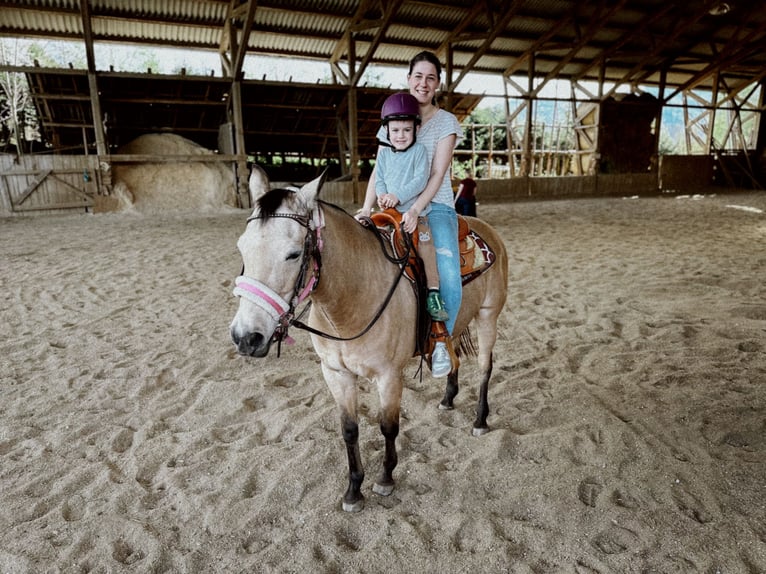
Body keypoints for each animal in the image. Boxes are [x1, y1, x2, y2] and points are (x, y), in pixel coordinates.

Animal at [231, 171, 512, 512]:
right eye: (242, 247)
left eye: (293, 254)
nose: (246, 337)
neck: (352, 299)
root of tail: (485, 229)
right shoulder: (335, 373)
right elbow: (349, 430)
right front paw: (354, 490)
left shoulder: (389, 376)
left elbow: (388, 426)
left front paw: (386, 479)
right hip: (457, 323)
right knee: (454, 354)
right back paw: (447, 398)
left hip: (488, 316)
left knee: (485, 367)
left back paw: (481, 420)